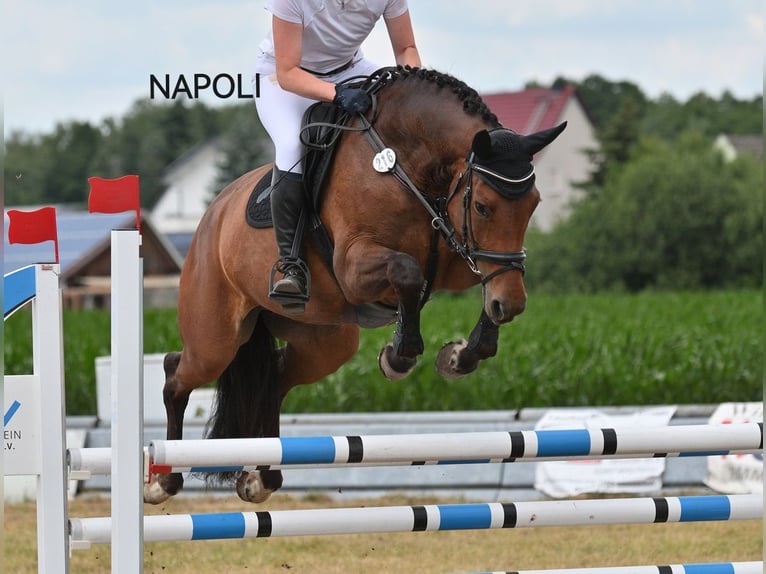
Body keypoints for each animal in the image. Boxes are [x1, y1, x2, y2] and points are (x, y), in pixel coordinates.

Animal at [143, 67, 566, 504]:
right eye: (482, 206)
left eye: (533, 205)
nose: (512, 306)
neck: (409, 166)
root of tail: (213, 214)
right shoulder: (354, 266)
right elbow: (406, 272)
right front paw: (399, 356)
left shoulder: (458, 251)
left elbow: (487, 279)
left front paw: (460, 355)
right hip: (216, 339)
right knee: (176, 373)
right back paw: (162, 481)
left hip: (326, 341)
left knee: (275, 375)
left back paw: (260, 479)